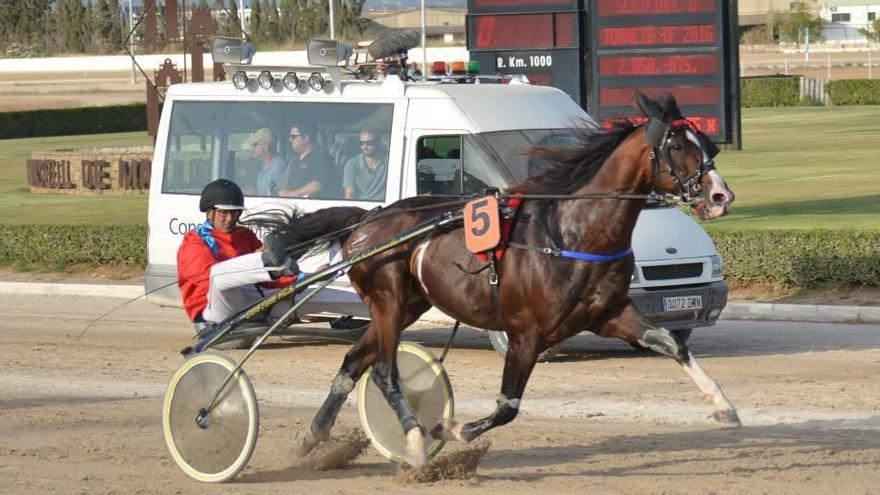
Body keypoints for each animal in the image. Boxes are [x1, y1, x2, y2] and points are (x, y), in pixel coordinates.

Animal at [256, 91, 744, 466]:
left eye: (709, 145)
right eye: (678, 147)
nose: (722, 196)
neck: (571, 231)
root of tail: (369, 218)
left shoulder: (609, 314)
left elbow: (673, 344)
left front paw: (724, 405)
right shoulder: (526, 332)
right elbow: (508, 406)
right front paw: (448, 430)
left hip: (405, 305)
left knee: (353, 363)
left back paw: (314, 437)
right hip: (388, 301)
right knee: (384, 373)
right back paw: (414, 441)